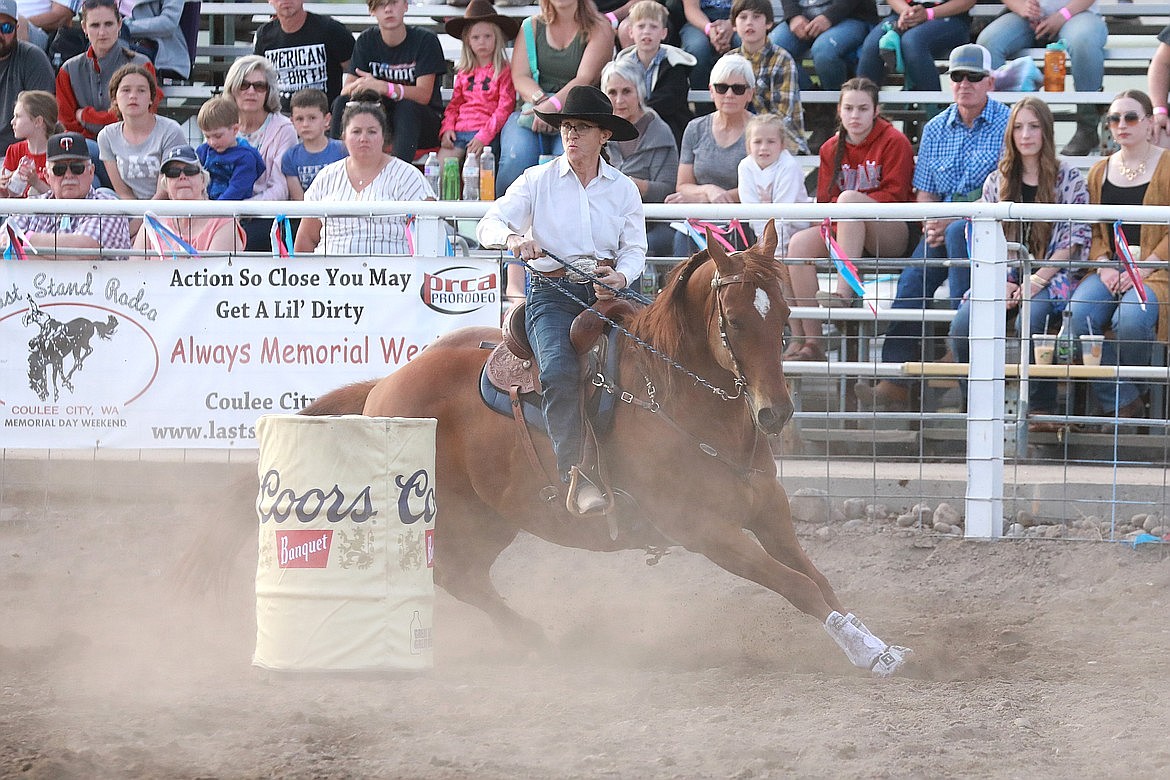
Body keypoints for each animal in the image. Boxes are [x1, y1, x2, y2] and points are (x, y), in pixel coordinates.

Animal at [287, 221, 907, 678]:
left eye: (783, 312)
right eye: (731, 319)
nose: (775, 413)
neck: (679, 396)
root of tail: (385, 385)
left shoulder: (769, 512)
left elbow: (820, 581)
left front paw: (876, 643)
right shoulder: (706, 531)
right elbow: (797, 586)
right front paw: (867, 655)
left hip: (493, 517)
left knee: (466, 576)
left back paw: (534, 639)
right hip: (452, 515)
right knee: (451, 576)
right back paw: (536, 639)